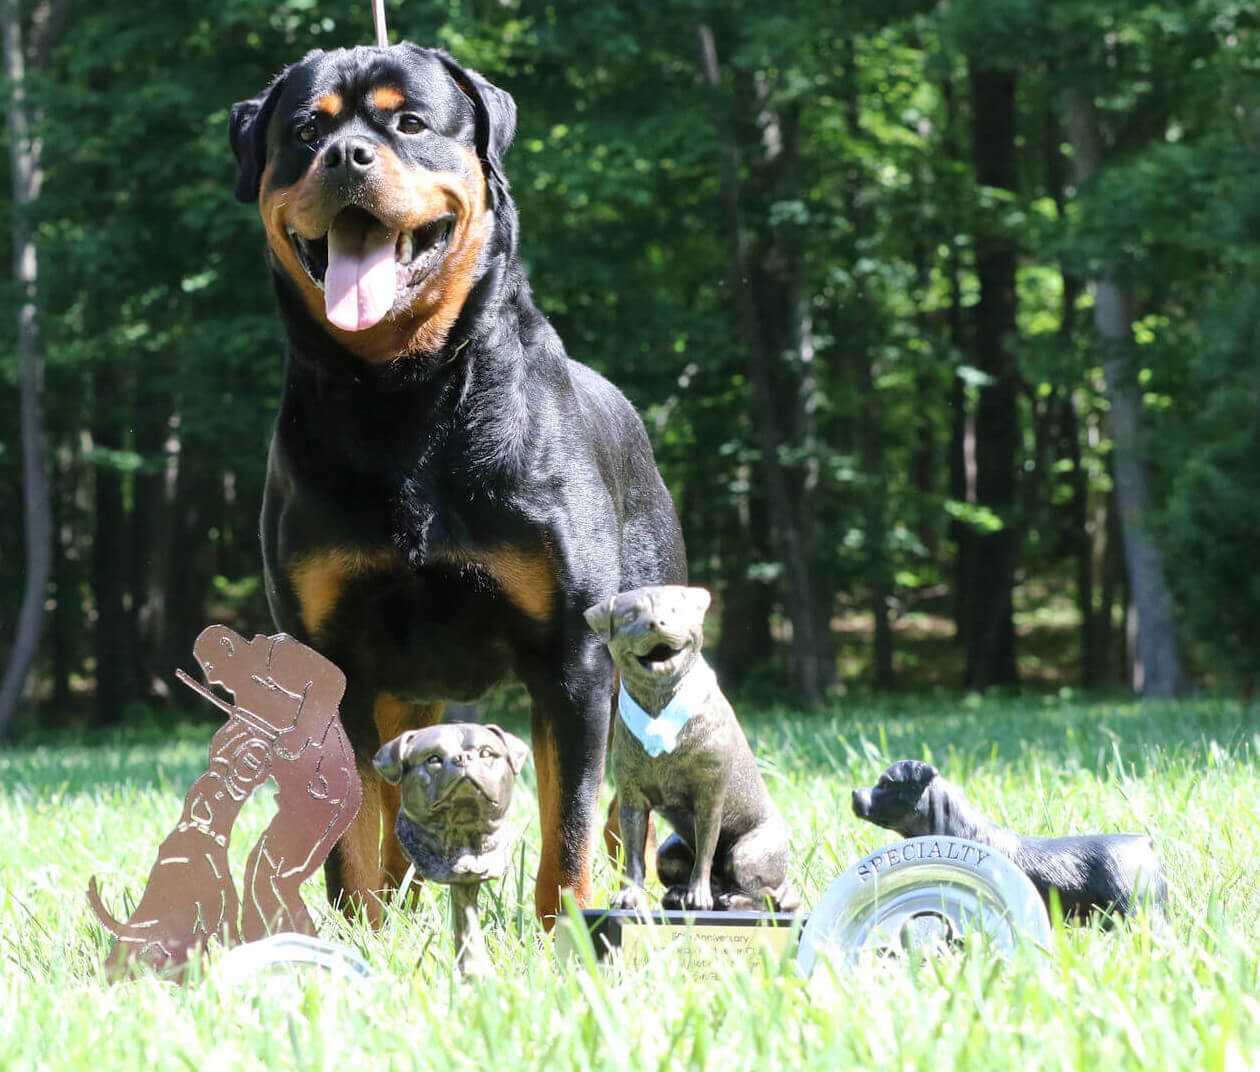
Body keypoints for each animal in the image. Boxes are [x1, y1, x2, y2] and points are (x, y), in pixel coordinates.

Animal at [226, 45, 680, 927]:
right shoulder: (333, 661)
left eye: (409, 122)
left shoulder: (572, 657)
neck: (405, 394)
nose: (347, 155)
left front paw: (566, 928)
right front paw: (360, 932)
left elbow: (569, 818)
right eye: (305, 132)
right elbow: (352, 830)